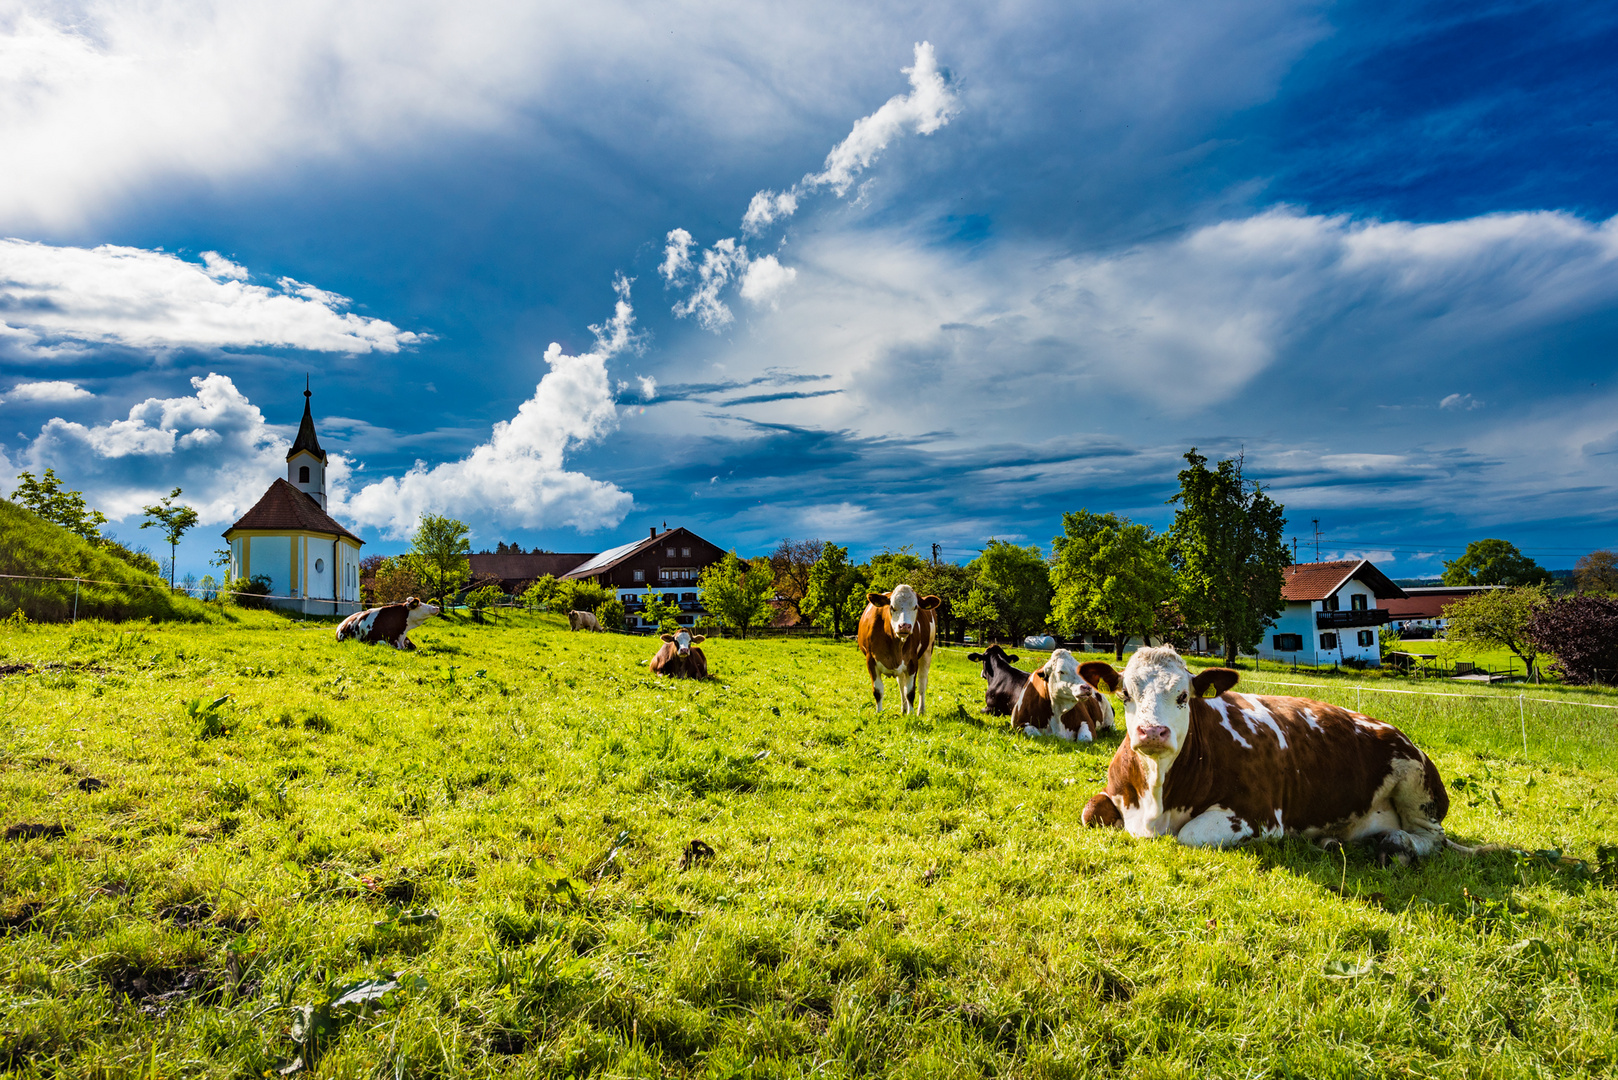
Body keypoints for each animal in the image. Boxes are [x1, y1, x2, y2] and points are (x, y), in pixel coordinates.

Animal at [1080, 647, 1462, 867]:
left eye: (1183, 696)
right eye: (1125, 694)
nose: (1152, 732)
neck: (1157, 797)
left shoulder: (1259, 816)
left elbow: (1189, 834)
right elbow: (1090, 811)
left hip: (1416, 781)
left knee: (1433, 837)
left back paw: (1397, 845)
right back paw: (1333, 840)